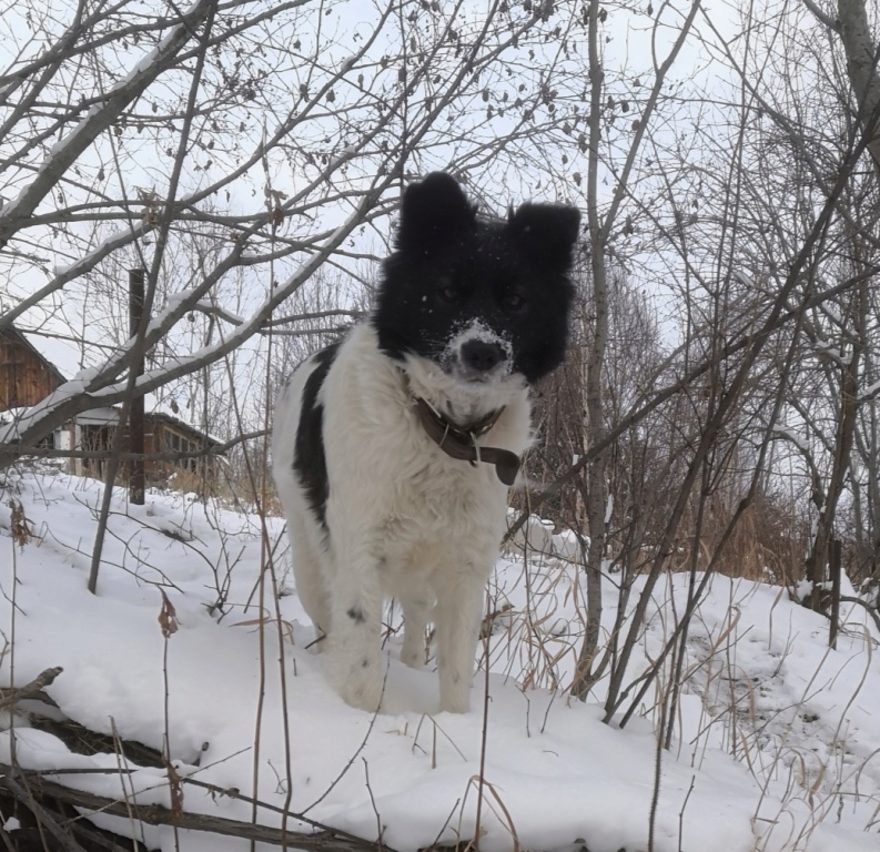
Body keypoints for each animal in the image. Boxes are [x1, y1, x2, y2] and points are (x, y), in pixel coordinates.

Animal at [272, 173, 580, 712]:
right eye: (448, 291)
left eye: (516, 300)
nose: (483, 352)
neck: (444, 430)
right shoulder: (359, 551)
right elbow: (359, 659)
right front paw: (360, 715)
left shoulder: (465, 570)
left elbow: (456, 673)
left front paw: (451, 722)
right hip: (311, 554)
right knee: (328, 620)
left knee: (416, 625)